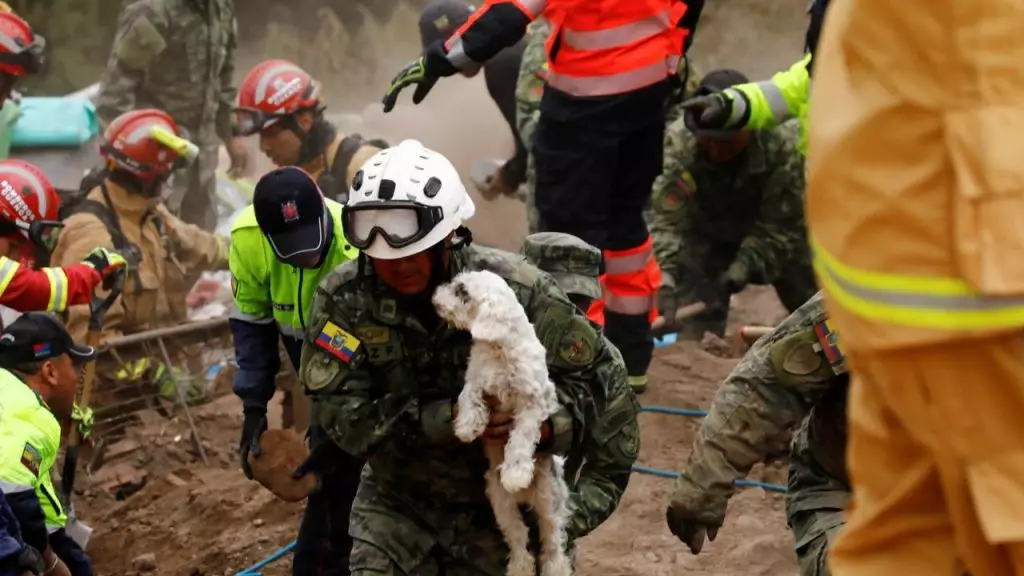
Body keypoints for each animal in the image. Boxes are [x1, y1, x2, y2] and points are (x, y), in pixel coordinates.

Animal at [432, 268, 577, 573]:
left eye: (462, 292)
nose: (436, 295)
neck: (498, 348)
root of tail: (524, 498)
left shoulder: (532, 404)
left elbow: (520, 439)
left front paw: (515, 473)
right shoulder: (476, 380)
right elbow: (468, 397)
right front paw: (468, 426)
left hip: (548, 498)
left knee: (552, 541)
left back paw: (555, 567)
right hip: (500, 503)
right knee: (519, 539)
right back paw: (519, 568)